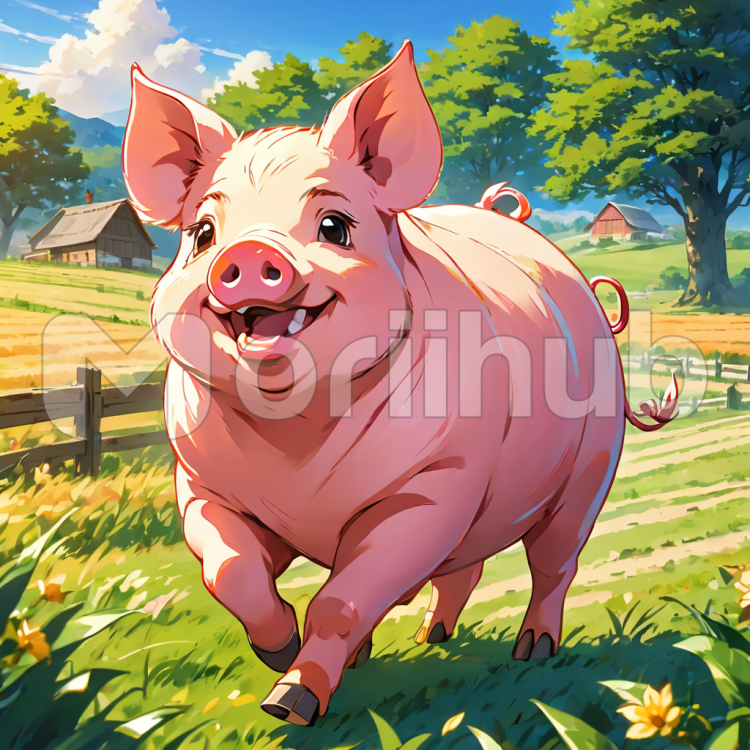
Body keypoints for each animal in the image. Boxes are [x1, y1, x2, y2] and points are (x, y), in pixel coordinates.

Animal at [122, 41, 678, 727]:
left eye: (334, 226)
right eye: (202, 234)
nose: (247, 254)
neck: (294, 446)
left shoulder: (434, 484)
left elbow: (342, 601)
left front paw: (289, 705)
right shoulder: (202, 484)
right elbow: (229, 571)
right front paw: (280, 650)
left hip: (589, 469)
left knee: (554, 564)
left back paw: (533, 651)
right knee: (464, 569)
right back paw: (427, 638)